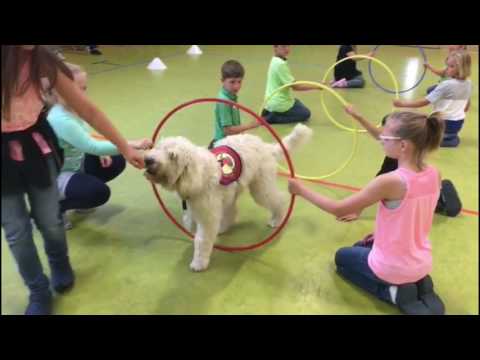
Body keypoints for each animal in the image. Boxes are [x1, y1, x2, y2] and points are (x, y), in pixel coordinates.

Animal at [144, 123, 314, 270]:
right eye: (158, 147)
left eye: (172, 155)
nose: (148, 159)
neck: (198, 174)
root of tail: (266, 147)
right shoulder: (196, 207)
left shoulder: (207, 216)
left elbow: (202, 240)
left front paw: (199, 262)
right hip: (232, 191)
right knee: (232, 211)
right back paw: (224, 227)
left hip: (261, 188)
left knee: (278, 199)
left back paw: (277, 219)